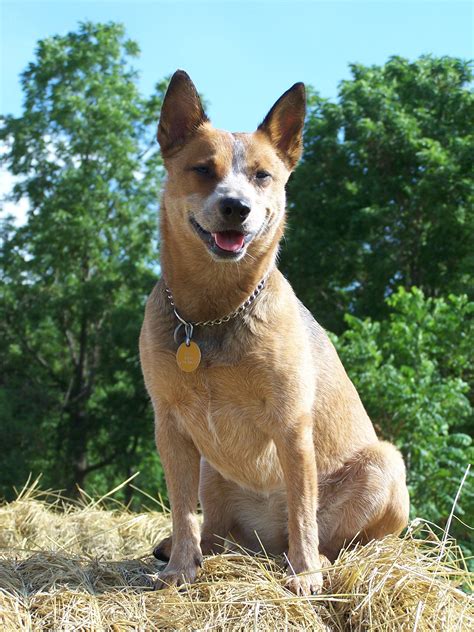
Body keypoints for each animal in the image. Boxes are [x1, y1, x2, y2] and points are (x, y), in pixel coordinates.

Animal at [139, 71, 410, 596]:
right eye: (202, 169)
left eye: (262, 175)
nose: (235, 206)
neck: (212, 316)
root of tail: (264, 542)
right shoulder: (169, 424)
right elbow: (181, 510)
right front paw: (179, 569)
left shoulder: (290, 424)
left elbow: (304, 511)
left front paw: (305, 576)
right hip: (213, 476)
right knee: (214, 528)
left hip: (385, 466)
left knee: (337, 538)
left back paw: (317, 560)